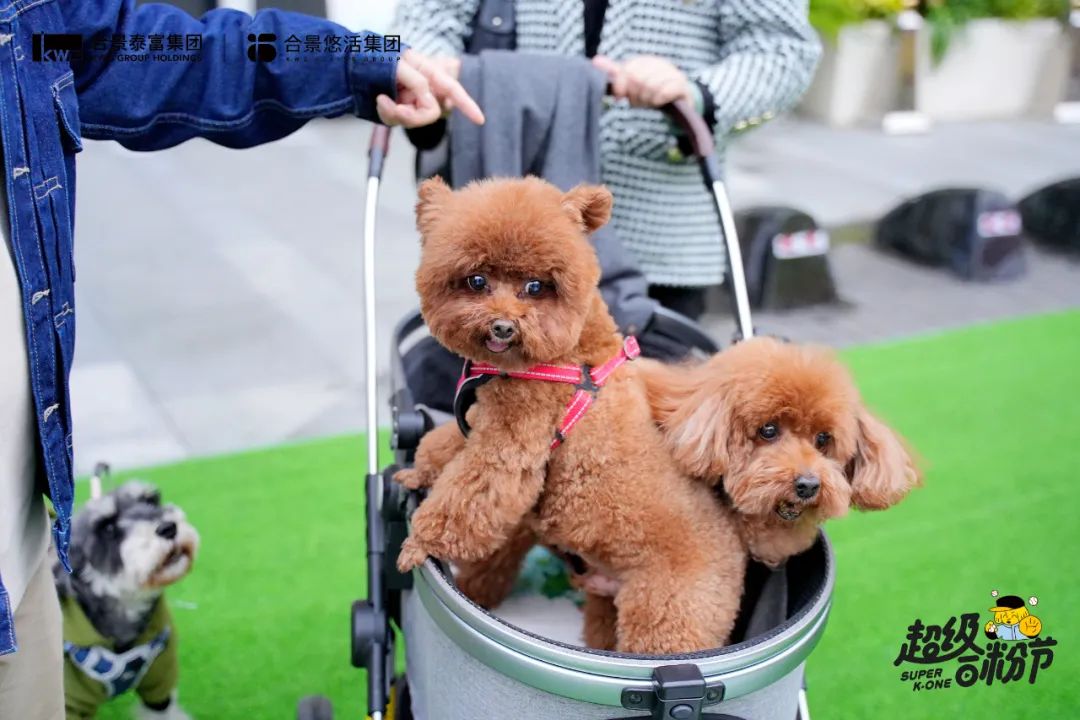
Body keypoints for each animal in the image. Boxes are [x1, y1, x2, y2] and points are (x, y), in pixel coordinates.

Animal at [395, 176, 746, 654]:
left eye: (536, 287)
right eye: (477, 280)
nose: (503, 326)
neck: (569, 355)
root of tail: (739, 560)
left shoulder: (511, 441)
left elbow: (468, 494)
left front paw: (417, 543)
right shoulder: (485, 420)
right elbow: (443, 445)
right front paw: (416, 473)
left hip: (668, 618)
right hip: (607, 604)